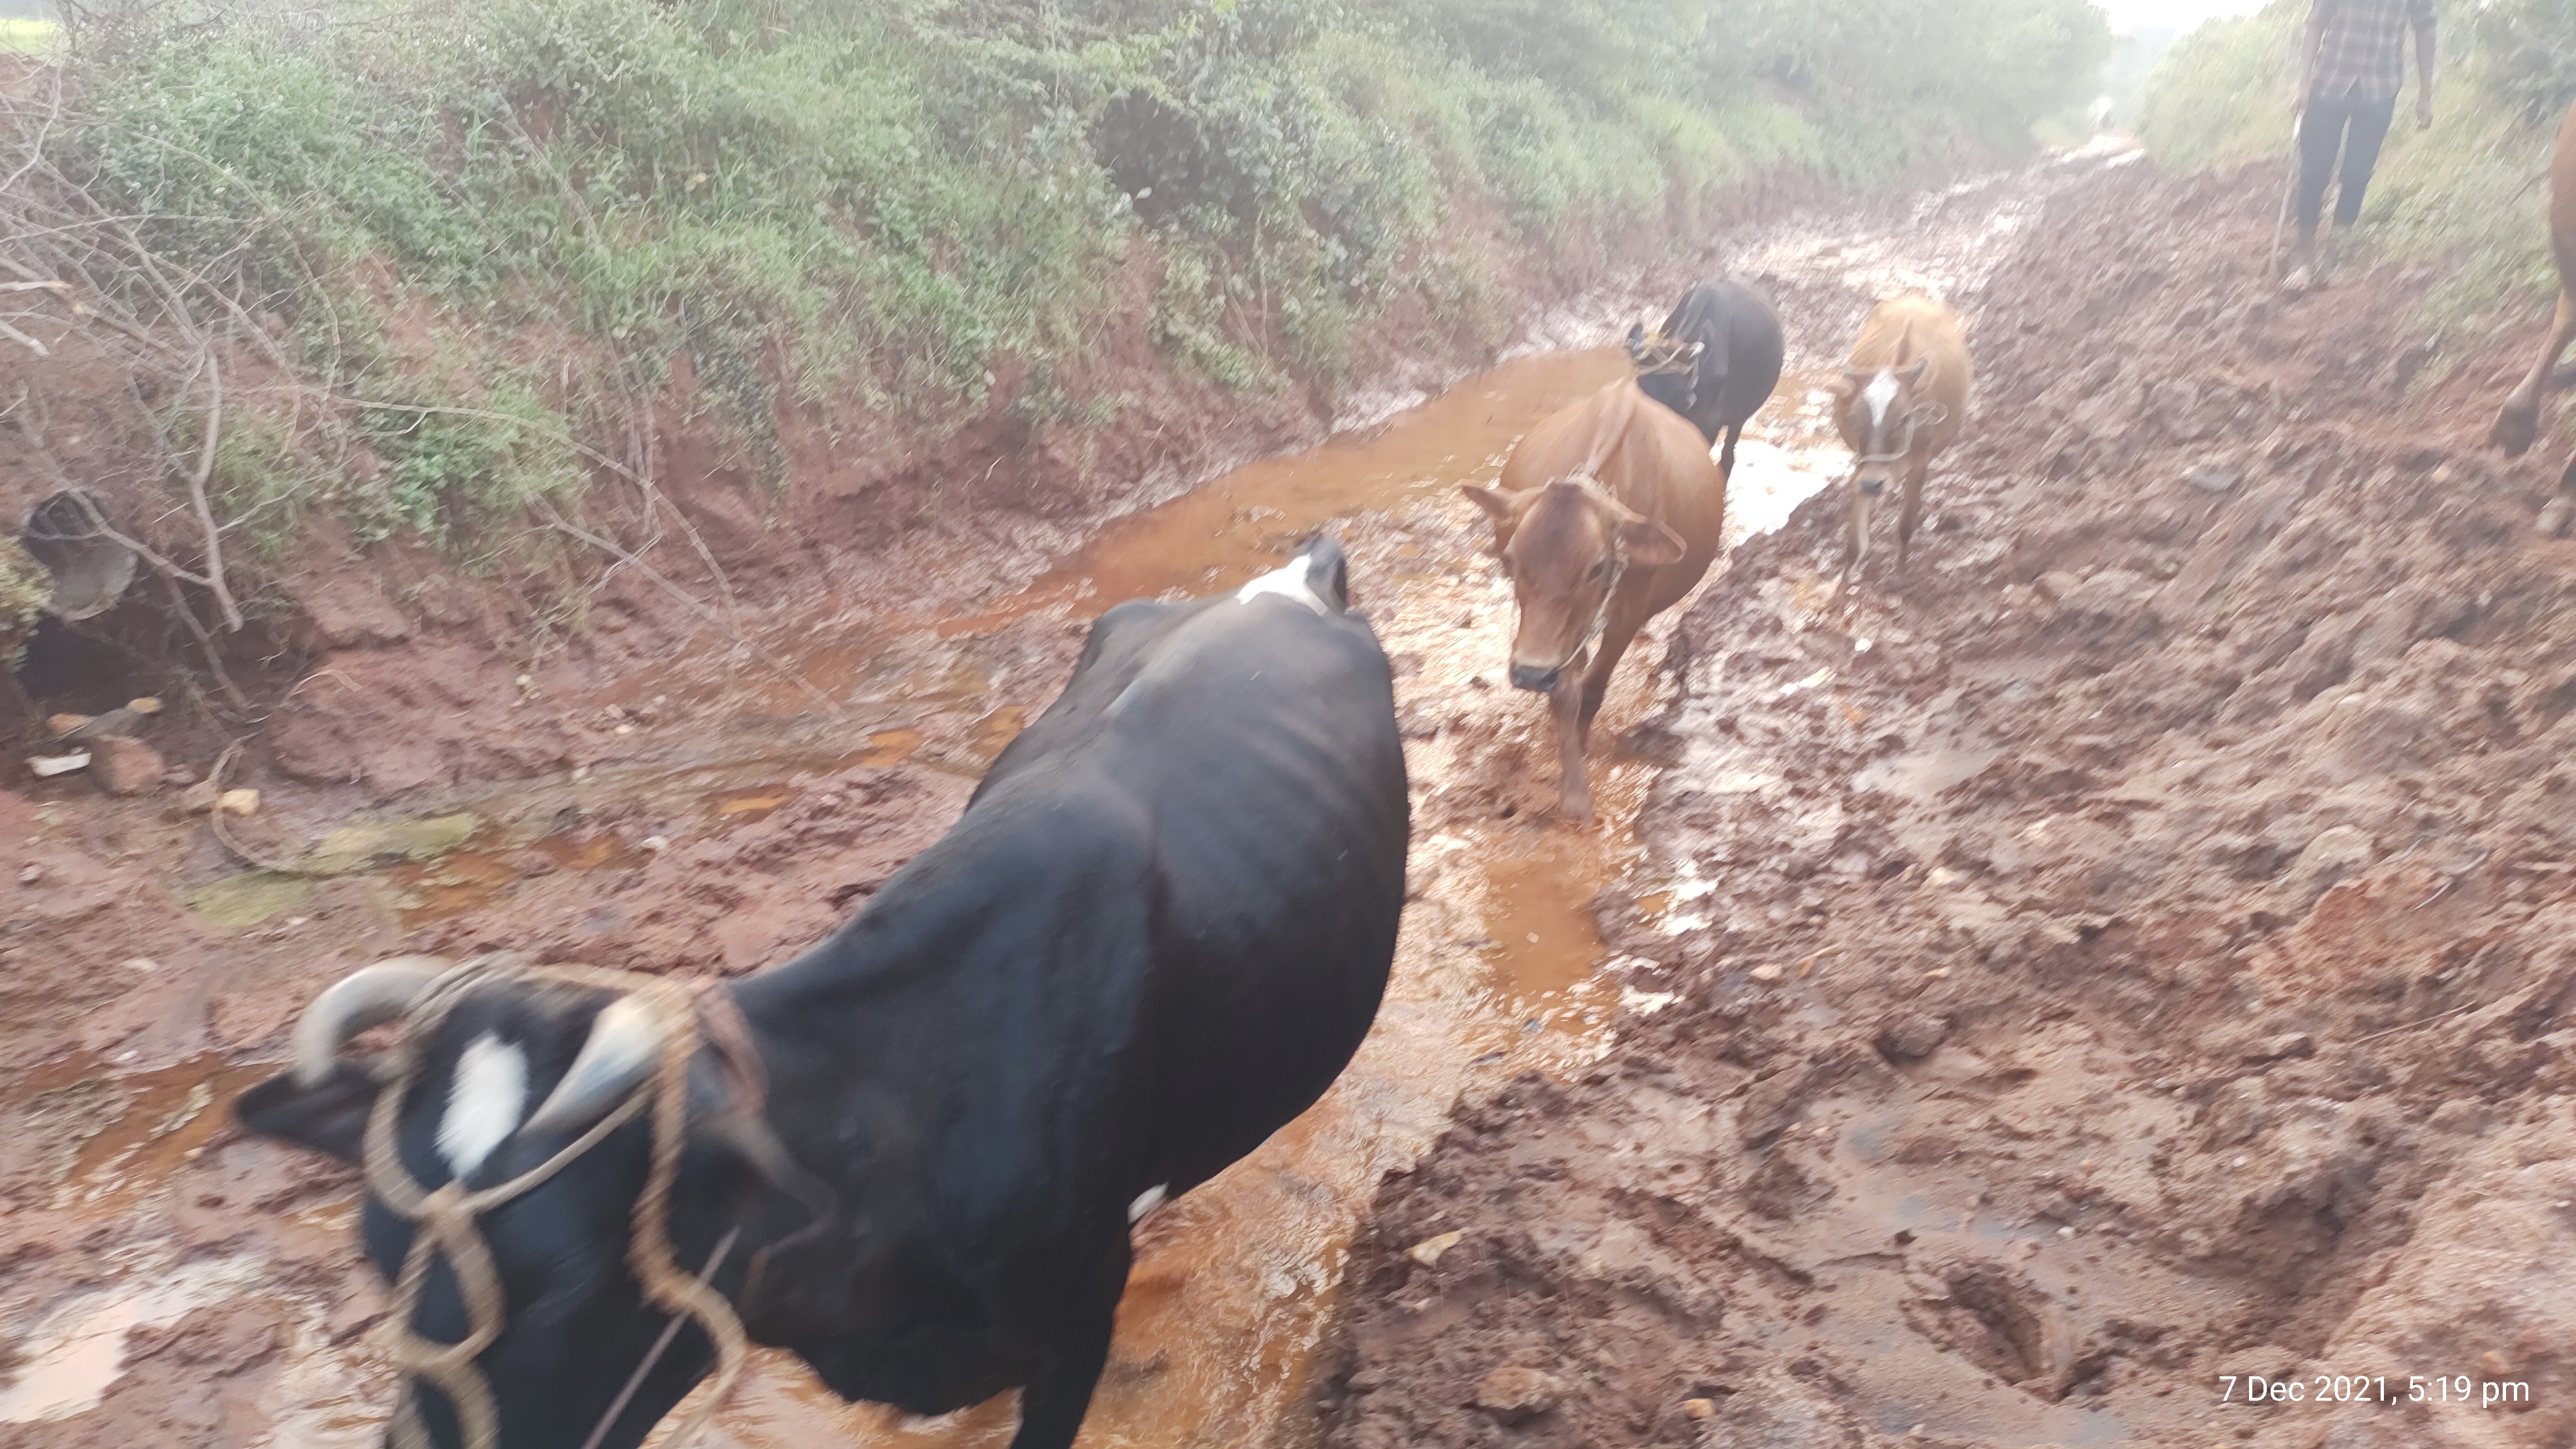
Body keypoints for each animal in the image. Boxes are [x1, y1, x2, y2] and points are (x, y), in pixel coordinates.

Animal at [1463, 379, 1720, 819]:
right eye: (1511, 559)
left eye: (1597, 567)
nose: (1530, 674)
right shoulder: (1560, 634)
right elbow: (1566, 695)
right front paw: (1574, 791)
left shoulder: (1626, 612)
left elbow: (1593, 688)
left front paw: (1581, 762)